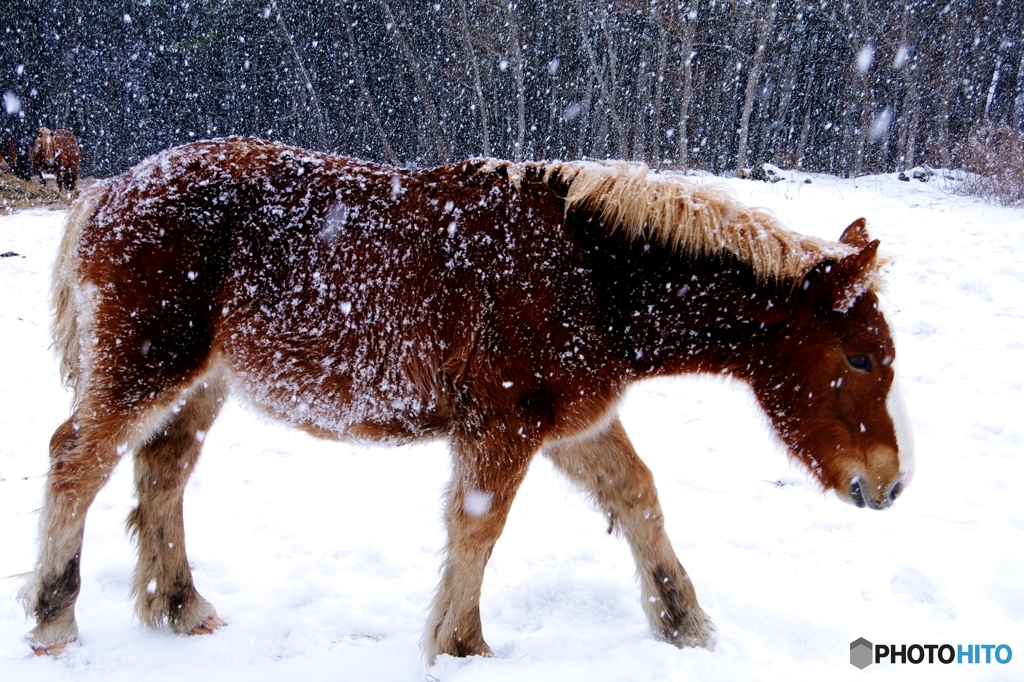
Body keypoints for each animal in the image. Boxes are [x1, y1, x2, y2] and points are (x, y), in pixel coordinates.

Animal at [22, 137, 913, 659]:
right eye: (862, 357)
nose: (891, 484)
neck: (592, 275)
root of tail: (108, 189)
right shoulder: (503, 429)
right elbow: (478, 529)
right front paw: (460, 645)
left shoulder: (575, 425)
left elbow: (639, 502)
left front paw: (685, 625)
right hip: (146, 371)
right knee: (76, 462)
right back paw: (54, 618)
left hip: (200, 386)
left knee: (160, 475)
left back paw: (180, 607)